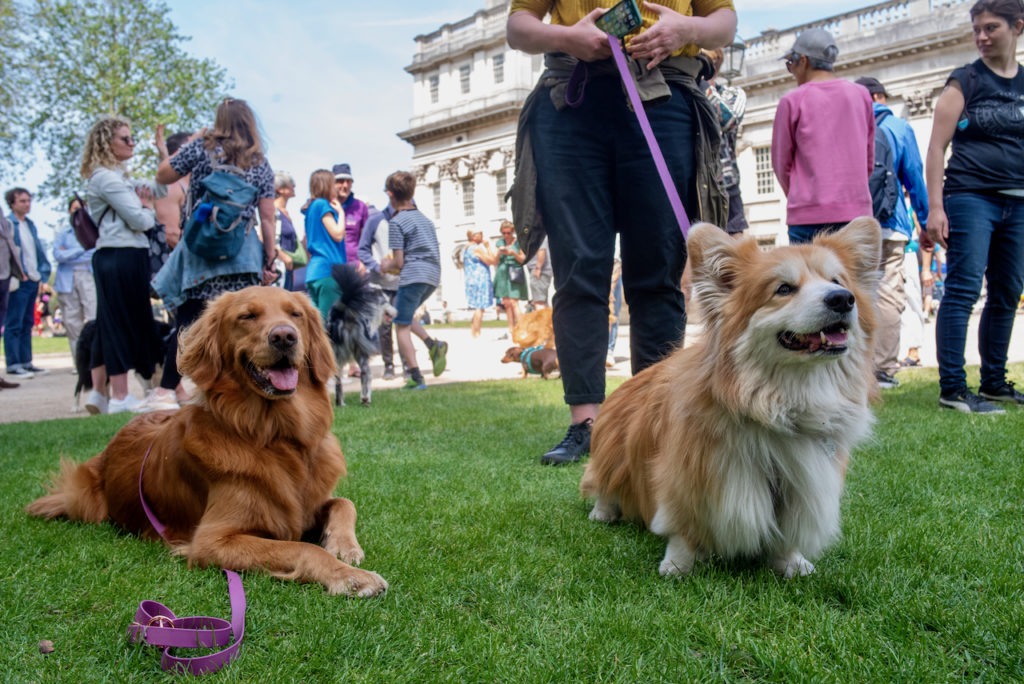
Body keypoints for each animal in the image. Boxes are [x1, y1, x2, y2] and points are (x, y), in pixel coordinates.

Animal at [327, 264, 395, 405]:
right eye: (386, 302)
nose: (395, 311)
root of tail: (344, 310)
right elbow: (369, 376)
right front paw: (366, 396)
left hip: (336, 354)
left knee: (338, 378)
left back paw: (340, 403)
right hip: (360, 351)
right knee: (365, 373)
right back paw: (365, 399)